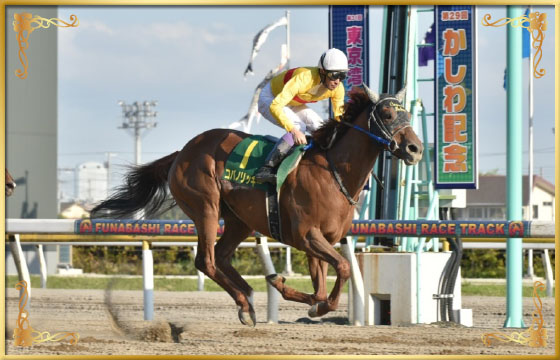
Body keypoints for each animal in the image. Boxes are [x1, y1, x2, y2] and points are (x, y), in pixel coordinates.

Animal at [92, 86, 422, 326]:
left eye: (408, 114)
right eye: (388, 114)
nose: (415, 149)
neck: (333, 171)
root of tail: (181, 152)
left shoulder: (319, 240)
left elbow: (321, 286)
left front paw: (293, 291)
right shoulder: (307, 236)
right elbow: (340, 268)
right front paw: (308, 302)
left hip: (240, 219)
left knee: (221, 257)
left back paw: (247, 299)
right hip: (205, 206)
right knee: (206, 261)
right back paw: (243, 301)